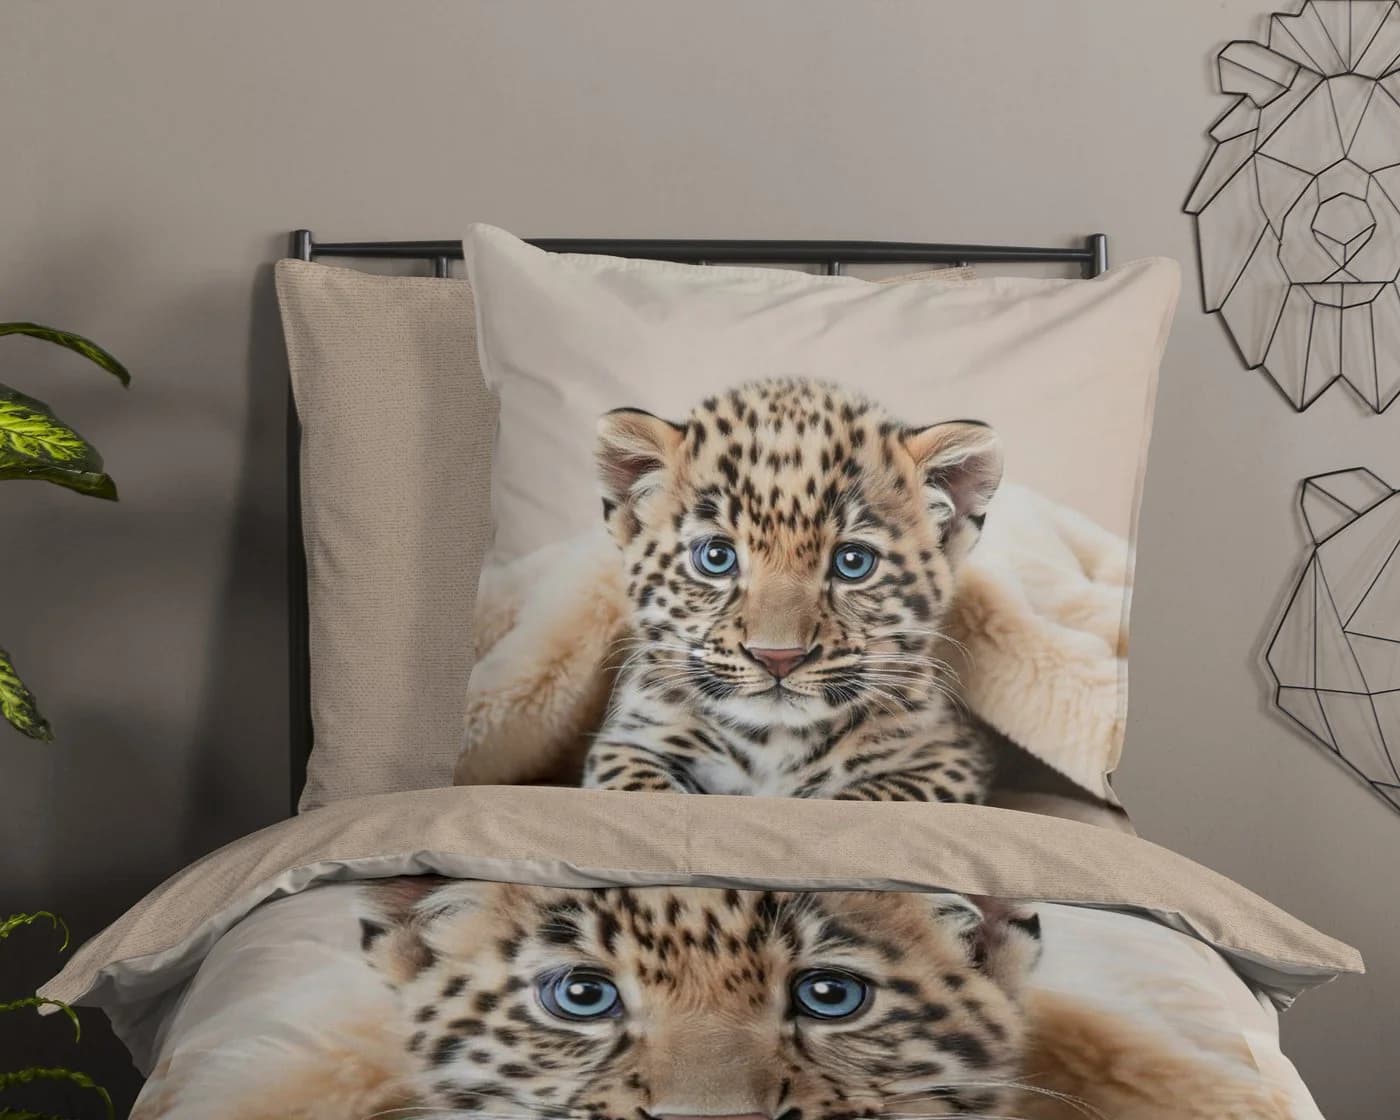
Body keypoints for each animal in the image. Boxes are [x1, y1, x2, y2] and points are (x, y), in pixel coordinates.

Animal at [580, 377, 999, 802]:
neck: (774, 744)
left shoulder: (948, 757)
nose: (777, 658)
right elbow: (640, 788)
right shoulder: (627, 741)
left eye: (853, 562)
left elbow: (869, 798)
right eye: (716, 557)